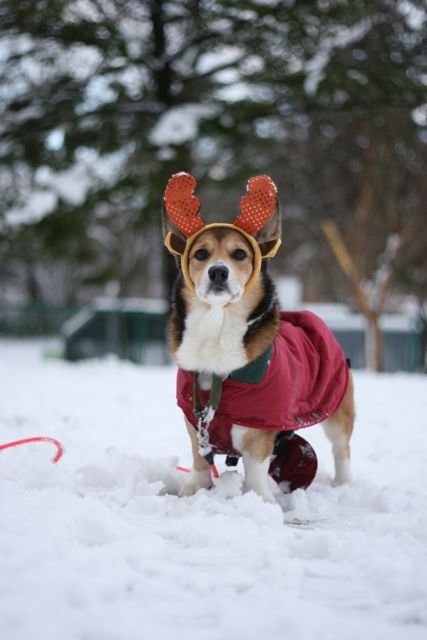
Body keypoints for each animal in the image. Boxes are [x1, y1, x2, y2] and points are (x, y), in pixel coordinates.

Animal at [164, 172, 354, 502]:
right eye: (200, 254)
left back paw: (343, 484)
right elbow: (199, 459)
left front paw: (261, 500)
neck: (218, 325)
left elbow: (255, 469)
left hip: (337, 408)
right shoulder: (193, 420)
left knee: (341, 448)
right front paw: (194, 489)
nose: (217, 272)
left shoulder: (259, 427)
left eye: (239, 254)